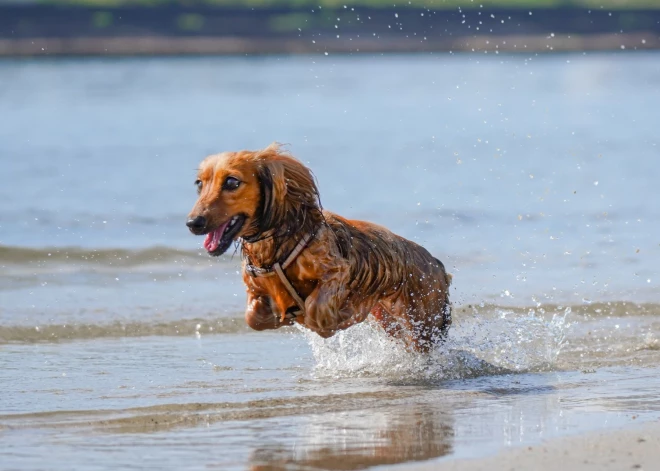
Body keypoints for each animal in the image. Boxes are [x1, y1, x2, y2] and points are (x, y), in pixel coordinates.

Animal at [188, 145, 452, 354]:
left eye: (232, 182)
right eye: (199, 184)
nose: (193, 223)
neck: (275, 247)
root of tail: (437, 264)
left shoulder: (336, 271)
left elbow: (316, 312)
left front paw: (337, 317)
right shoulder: (255, 289)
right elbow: (252, 317)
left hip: (423, 324)